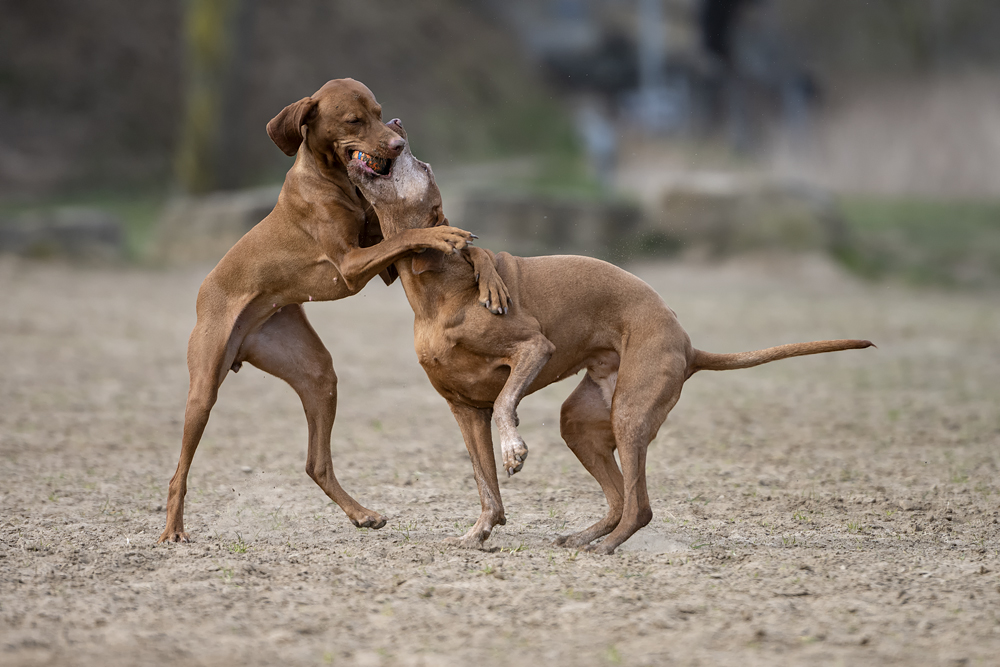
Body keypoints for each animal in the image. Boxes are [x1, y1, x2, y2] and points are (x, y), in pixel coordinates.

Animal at [162, 81, 516, 544]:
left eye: (379, 112)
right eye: (354, 120)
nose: (397, 138)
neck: (337, 183)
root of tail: (206, 290)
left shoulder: (383, 265)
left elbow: (471, 250)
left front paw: (491, 282)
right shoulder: (350, 265)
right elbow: (415, 235)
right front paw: (444, 235)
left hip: (316, 374)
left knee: (316, 463)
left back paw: (362, 514)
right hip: (204, 388)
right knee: (178, 472)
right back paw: (173, 529)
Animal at [346, 122, 876, 556]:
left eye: (424, 165)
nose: (397, 123)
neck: (439, 288)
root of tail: (688, 345)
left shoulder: (532, 350)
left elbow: (504, 406)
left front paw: (514, 448)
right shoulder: (462, 409)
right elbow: (485, 482)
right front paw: (479, 532)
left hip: (631, 414)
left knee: (640, 506)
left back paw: (605, 545)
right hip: (582, 423)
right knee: (620, 499)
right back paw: (584, 537)